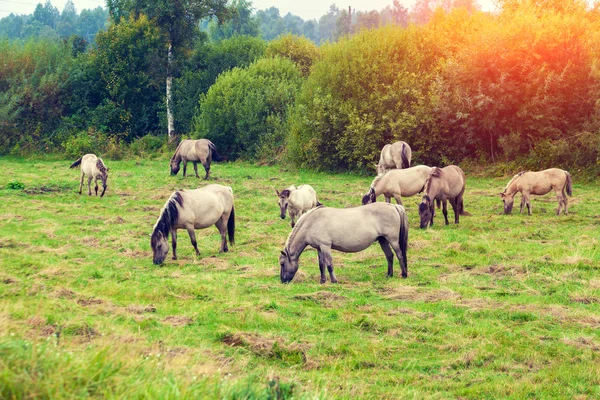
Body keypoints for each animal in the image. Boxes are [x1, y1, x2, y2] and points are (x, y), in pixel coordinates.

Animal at [278, 203, 410, 284]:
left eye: (282, 264)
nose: (283, 280)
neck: (312, 222)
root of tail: (394, 206)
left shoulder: (325, 246)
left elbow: (329, 264)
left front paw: (334, 281)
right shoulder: (319, 248)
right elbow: (321, 265)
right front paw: (322, 281)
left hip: (392, 240)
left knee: (399, 255)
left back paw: (404, 274)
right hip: (383, 240)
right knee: (389, 256)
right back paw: (389, 275)